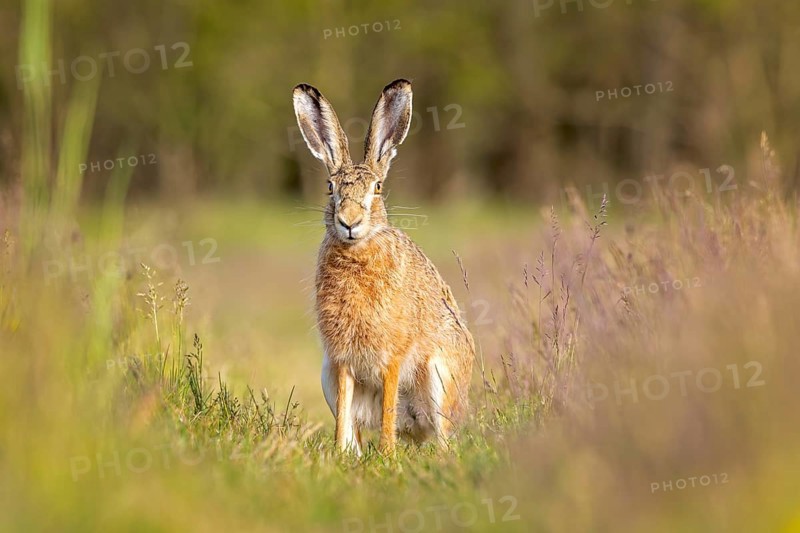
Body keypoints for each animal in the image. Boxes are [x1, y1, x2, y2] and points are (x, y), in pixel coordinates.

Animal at [292, 79, 474, 455]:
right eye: (330, 188)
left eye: (377, 188)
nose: (349, 221)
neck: (356, 252)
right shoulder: (342, 361)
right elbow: (344, 414)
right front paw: (339, 453)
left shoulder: (392, 356)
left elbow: (389, 406)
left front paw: (387, 455)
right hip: (325, 373)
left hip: (439, 377)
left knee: (441, 434)